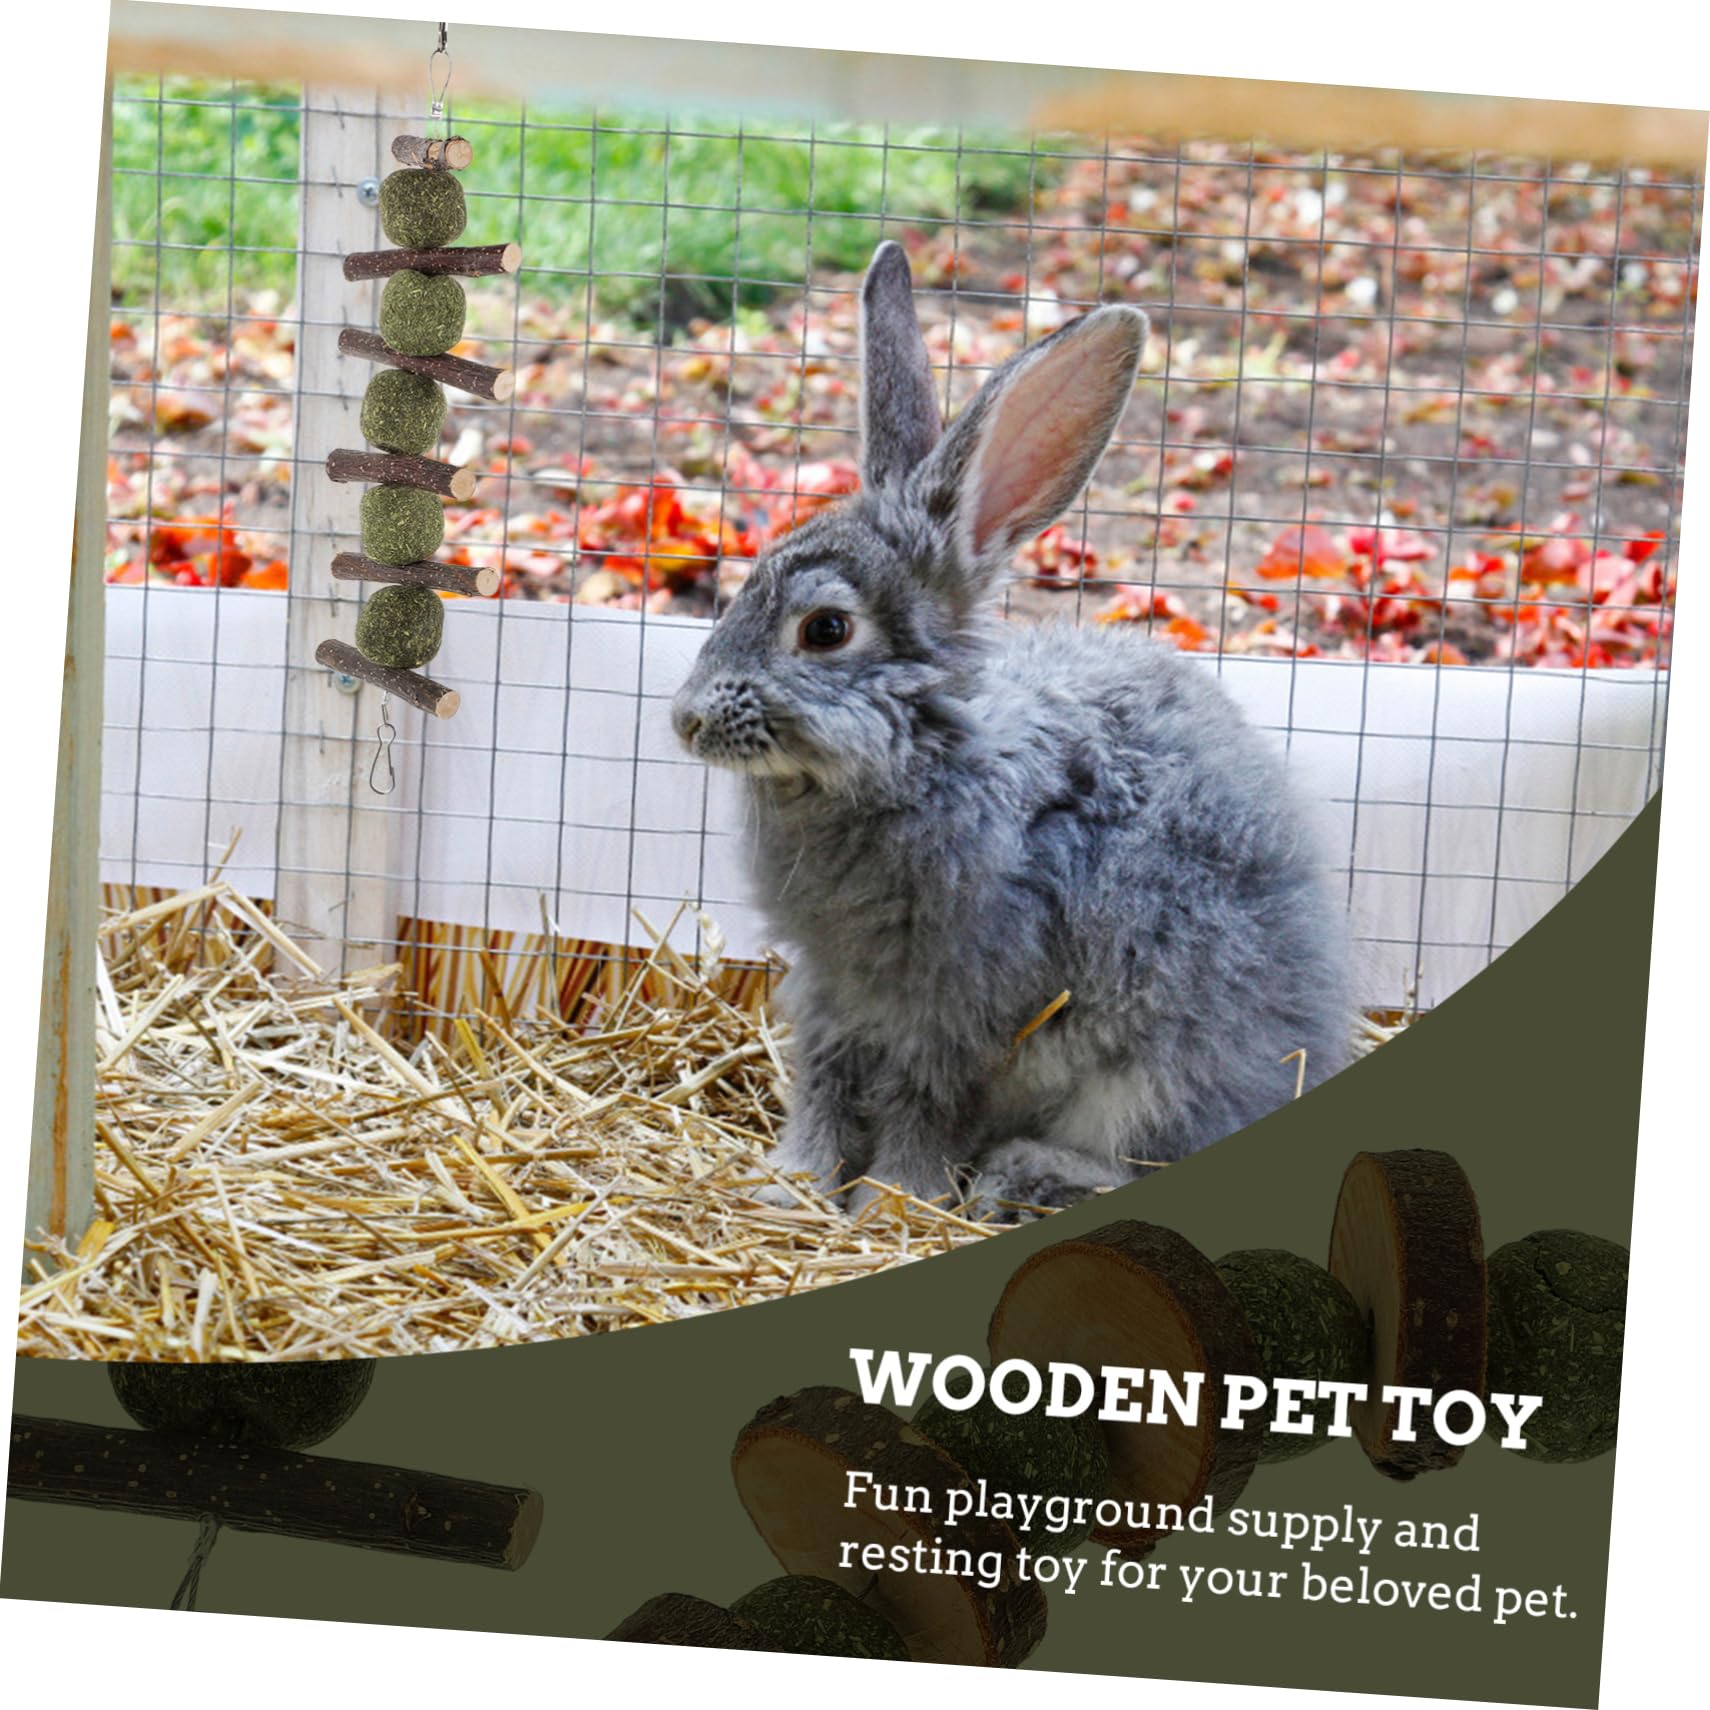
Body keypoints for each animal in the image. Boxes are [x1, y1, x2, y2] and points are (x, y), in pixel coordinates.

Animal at [671, 240, 1351, 1217]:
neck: (925, 759)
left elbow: (921, 1105)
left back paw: (1025, 1175)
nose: (686, 720)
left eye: (826, 630)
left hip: (1153, 1074)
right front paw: (792, 1186)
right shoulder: (833, 993)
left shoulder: (958, 1009)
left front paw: (893, 1202)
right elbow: (824, 1086)